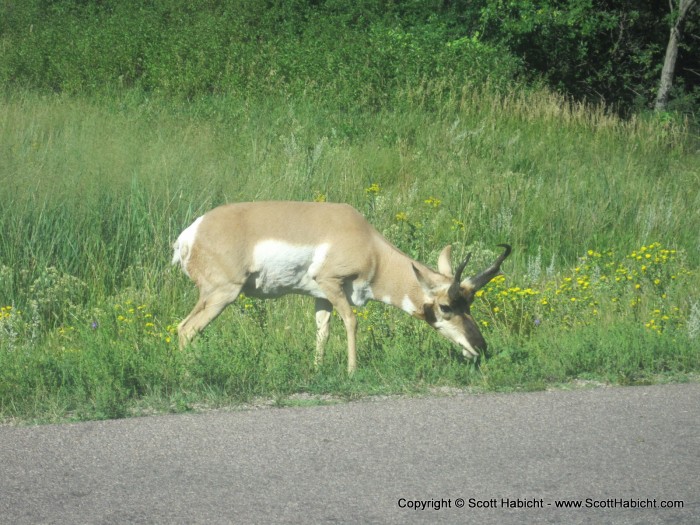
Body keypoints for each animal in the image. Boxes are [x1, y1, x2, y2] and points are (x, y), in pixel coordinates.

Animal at [172, 201, 512, 372]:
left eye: (469, 304)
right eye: (445, 306)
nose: (480, 346)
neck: (370, 246)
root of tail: (190, 233)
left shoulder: (320, 297)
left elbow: (322, 330)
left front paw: (318, 370)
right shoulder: (332, 284)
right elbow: (351, 321)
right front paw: (352, 370)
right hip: (222, 294)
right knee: (186, 329)